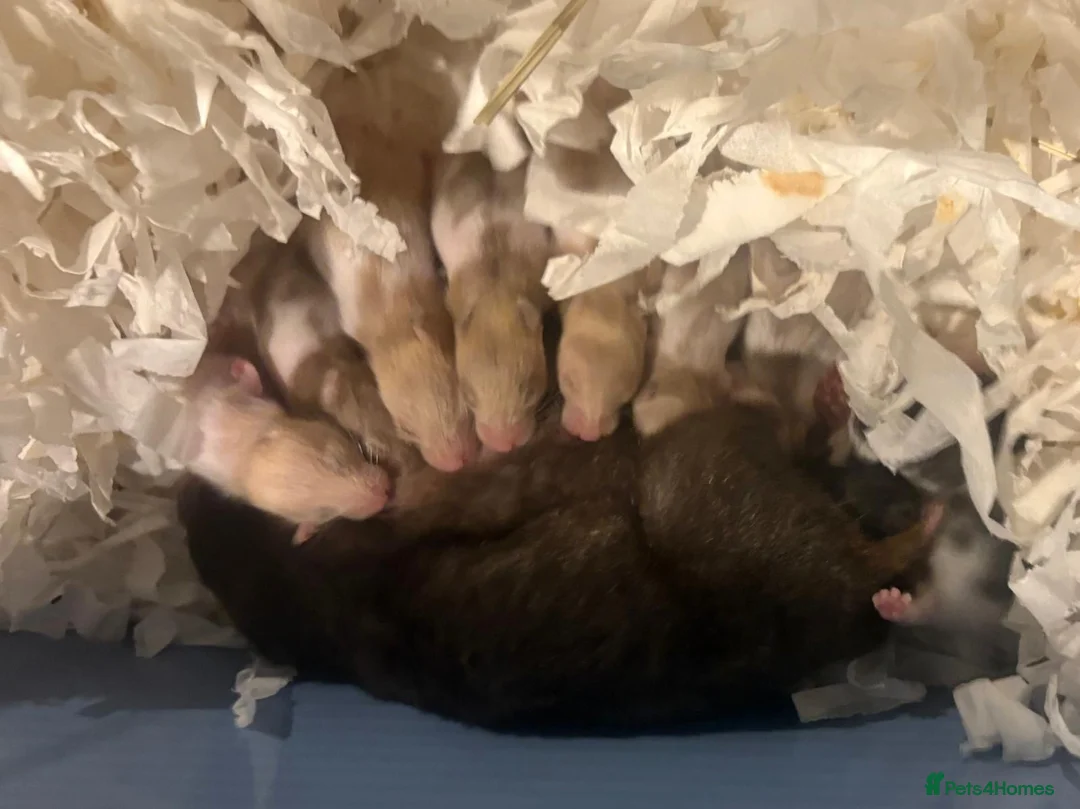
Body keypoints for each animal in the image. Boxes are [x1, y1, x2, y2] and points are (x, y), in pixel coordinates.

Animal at [180, 352, 391, 545]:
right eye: (325, 512)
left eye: (335, 460)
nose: (383, 496)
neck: (248, 454)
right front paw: (304, 532)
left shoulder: (246, 406)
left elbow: (243, 390)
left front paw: (243, 369)